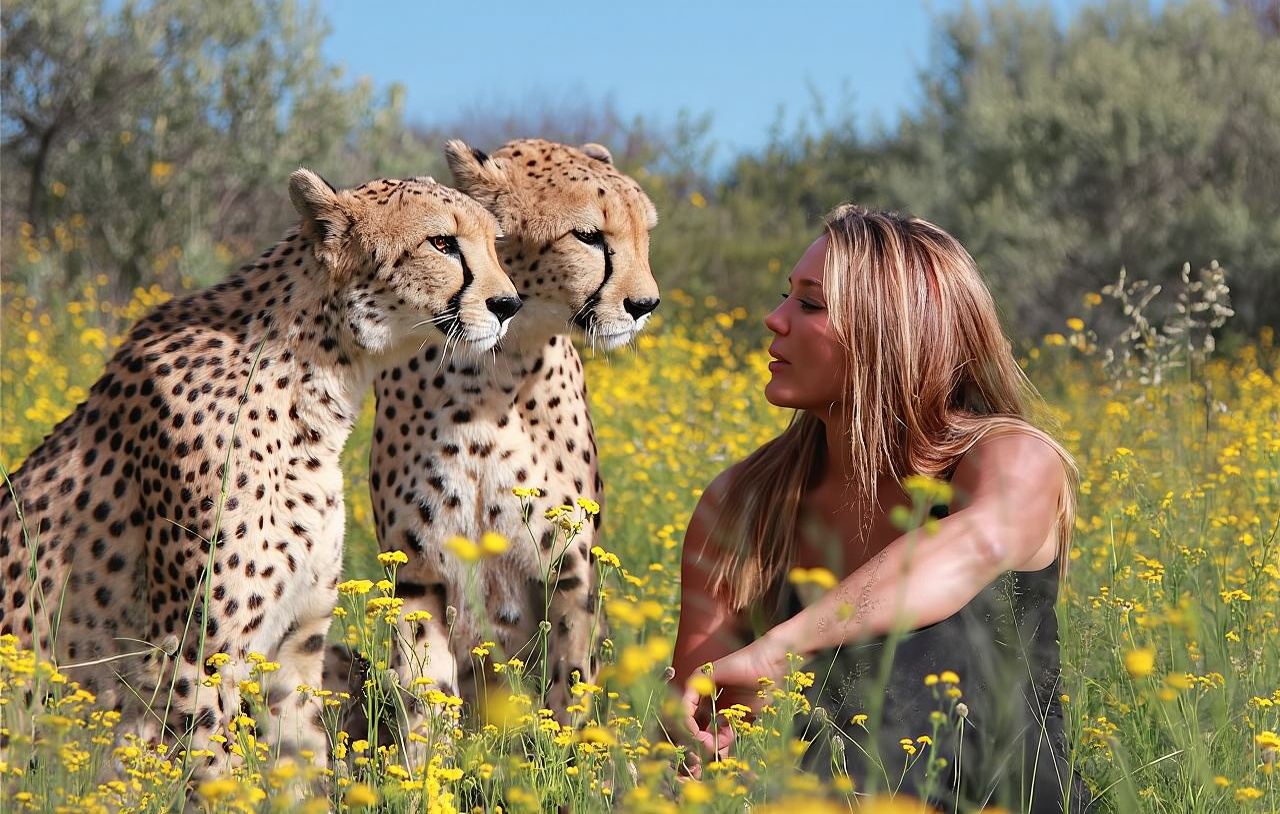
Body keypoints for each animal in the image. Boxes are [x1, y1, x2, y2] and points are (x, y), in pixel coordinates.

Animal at [0, 168, 518, 778]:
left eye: (493, 243)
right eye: (442, 243)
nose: (508, 304)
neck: (317, 378)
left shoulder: (296, 646)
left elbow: (301, 760)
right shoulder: (193, 656)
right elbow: (214, 772)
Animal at [326, 138, 659, 736]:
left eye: (644, 234)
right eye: (590, 236)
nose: (645, 305)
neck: (495, 374)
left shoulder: (569, 573)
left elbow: (570, 690)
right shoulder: (419, 573)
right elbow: (427, 697)